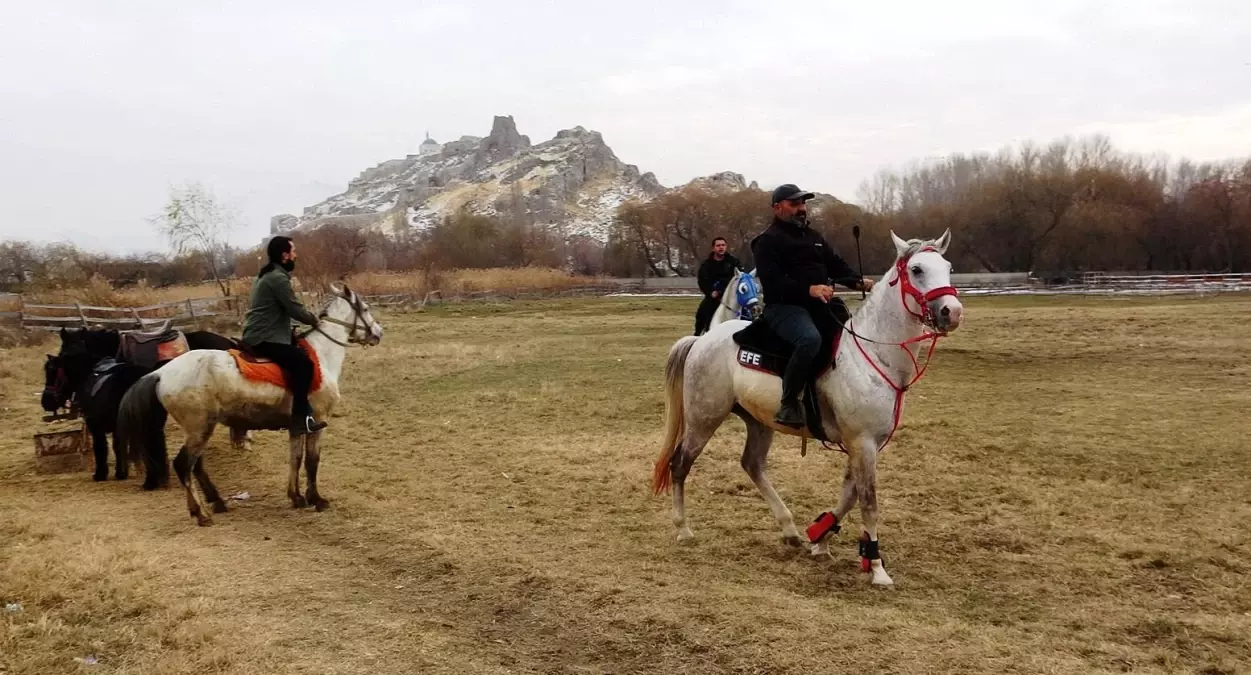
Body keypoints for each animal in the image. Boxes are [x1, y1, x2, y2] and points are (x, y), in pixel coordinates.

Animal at [650, 227, 960, 585]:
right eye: (917, 269)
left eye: (948, 267)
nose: (952, 312)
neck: (873, 354)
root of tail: (702, 341)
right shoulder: (863, 442)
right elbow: (868, 501)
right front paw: (876, 566)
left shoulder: (863, 444)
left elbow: (849, 494)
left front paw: (820, 537)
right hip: (704, 418)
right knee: (680, 464)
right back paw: (683, 529)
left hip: (758, 422)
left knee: (752, 465)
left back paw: (789, 529)